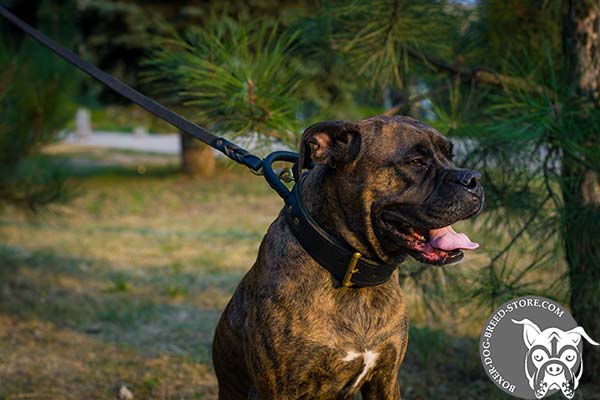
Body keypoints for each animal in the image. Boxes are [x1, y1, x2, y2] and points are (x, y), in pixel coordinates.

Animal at [213, 114, 486, 398]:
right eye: (416, 162)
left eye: (451, 156)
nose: (475, 179)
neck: (354, 276)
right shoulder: (277, 389)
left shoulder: (385, 379)